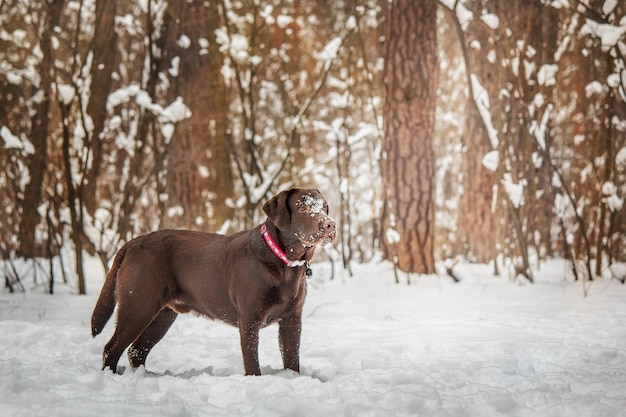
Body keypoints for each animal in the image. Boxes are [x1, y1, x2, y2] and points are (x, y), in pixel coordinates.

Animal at [90, 188, 334, 374]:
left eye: (324, 207)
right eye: (302, 207)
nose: (330, 225)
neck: (285, 263)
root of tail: (132, 242)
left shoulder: (292, 320)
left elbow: (292, 360)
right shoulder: (250, 320)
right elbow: (252, 362)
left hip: (163, 316)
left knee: (136, 350)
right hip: (138, 306)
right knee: (112, 348)